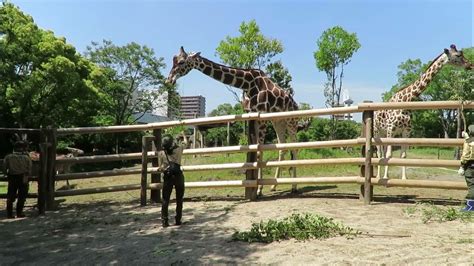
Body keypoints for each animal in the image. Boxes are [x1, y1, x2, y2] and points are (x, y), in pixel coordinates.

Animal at [168, 46, 300, 194]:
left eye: (181, 62)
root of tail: (296, 105)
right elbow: (256, 149)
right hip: (278, 121)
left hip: (291, 121)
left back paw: (294, 186)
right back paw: (274, 185)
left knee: (295, 147)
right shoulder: (252, 114)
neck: (248, 84)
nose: (169, 80)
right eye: (173, 60)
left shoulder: (262, 115)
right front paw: (259, 186)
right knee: (282, 148)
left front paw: (259, 189)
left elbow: (260, 150)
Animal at [376, 44, 472, 180]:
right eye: (458, 55)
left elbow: (403, 156)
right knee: (379, 153)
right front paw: (385, 178)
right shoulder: (391, 129)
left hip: (385, 133)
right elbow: (389, 155)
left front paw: (404, 178)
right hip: (378, 132)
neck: (406, 100)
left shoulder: (406, 131)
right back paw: (379, 176)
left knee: (383, 152)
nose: (470, 64)